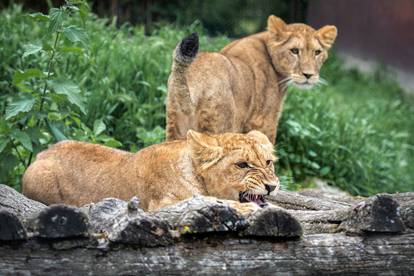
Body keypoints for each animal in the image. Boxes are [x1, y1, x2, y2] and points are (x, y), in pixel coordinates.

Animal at [21, 130, 278, 210]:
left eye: (268, 162)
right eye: (242, 165)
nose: (272, 186)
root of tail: (43, 152)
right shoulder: (160, 206)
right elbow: (215, 202)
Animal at [167, 15, 338, 144]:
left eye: (317, 52)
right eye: (295, 51)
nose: (308, 75)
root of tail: (194, 78)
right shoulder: (264, 122)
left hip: (175, 127)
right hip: (222, 127)